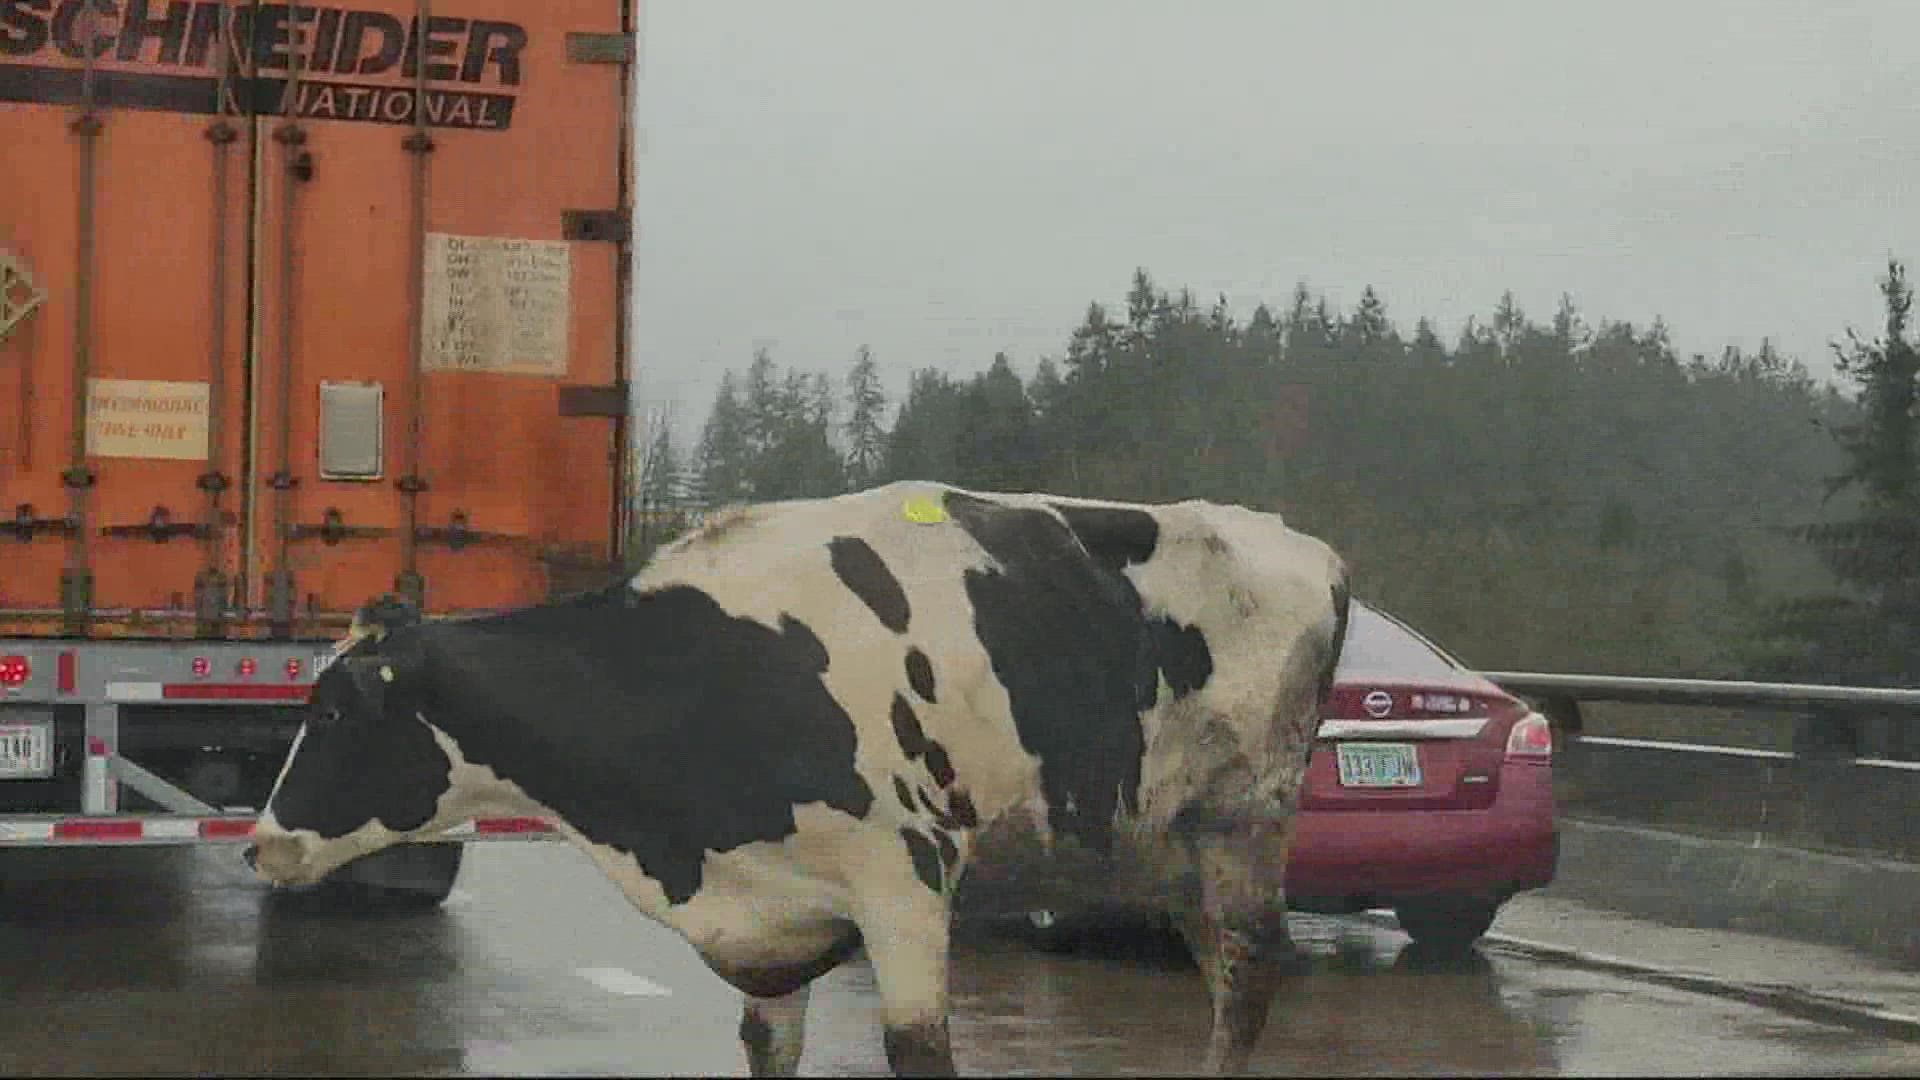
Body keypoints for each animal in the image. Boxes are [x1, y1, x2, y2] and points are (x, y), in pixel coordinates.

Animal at [251, 484, 1351, 1068]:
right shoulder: (768, 928)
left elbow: (919, 1052)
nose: (263, 842)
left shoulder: (906, 876)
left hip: (1247, 819)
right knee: (1222, 976)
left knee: (1249, 974)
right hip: (1169, 846)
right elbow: (765, 1048)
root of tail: (1307, 546)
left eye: (334, 712)